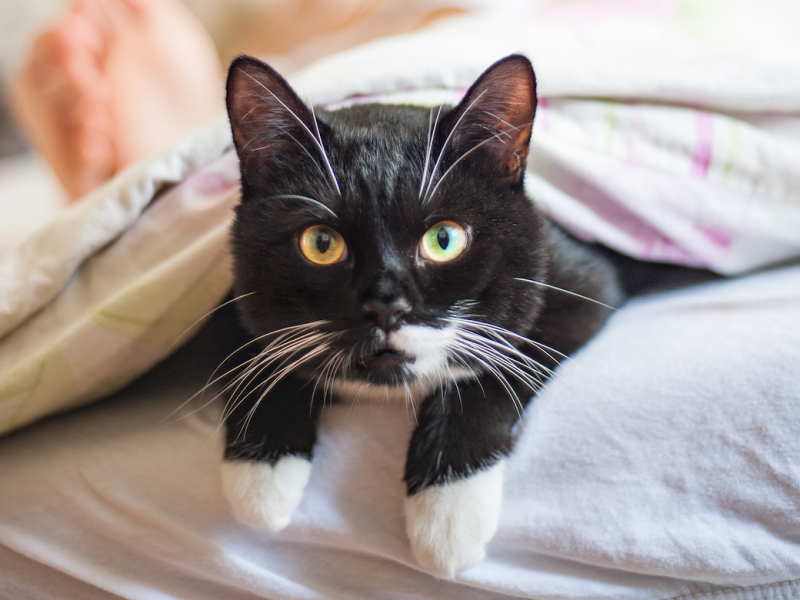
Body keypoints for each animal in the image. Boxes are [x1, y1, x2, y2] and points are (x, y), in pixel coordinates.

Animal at [220, 54, 632, 580]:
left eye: (444, 240)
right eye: (321, 243)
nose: (386, 304)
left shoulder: (582, 283)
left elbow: (496, 366)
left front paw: (447, 509)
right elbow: (248, 344)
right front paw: (261, 475)